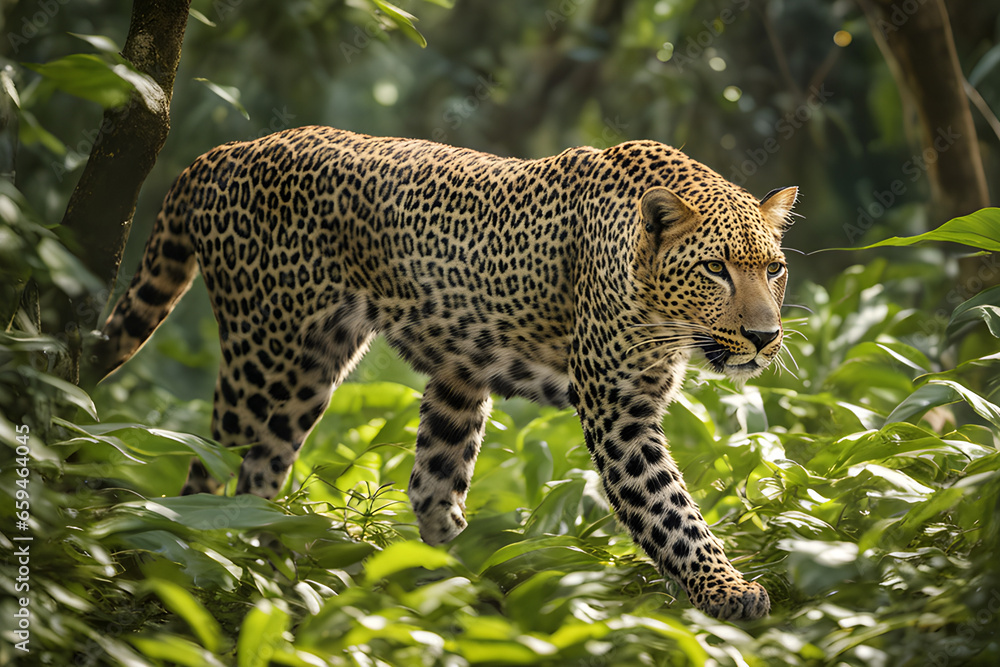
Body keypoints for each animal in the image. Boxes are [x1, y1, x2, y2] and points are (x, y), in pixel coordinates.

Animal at [90, 126, 797, 621]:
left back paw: (280, 566)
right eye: (714, 269)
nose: (764, 338)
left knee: (282, 469)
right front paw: (727, 590)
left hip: (325, 372)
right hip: (262, 353)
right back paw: (203, 559)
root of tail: (223, 152)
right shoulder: (619, 416)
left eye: (775, 269)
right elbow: (669, 513)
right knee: (207, 466)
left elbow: (436, 485)